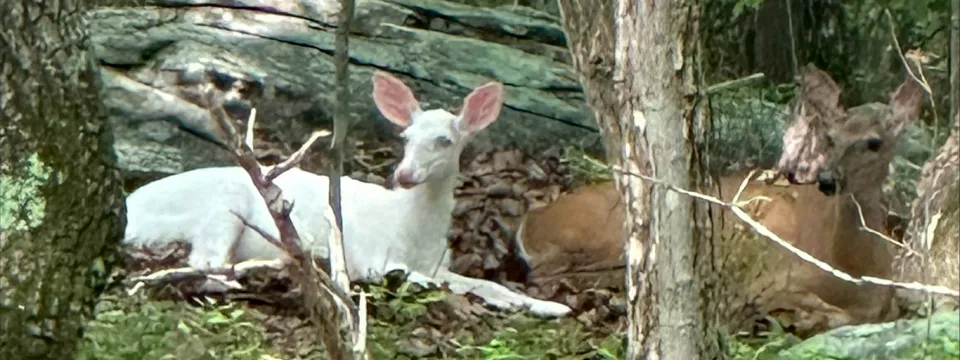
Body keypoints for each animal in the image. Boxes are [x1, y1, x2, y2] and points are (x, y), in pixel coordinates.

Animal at [119, 71, 568, 318]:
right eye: (405, 137)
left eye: (445, 140)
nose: (404, 175)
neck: (412, 231)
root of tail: (128, 214)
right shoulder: (370, 254)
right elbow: (417, 279)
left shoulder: (438, 262)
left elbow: (489, 286)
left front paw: (553, 307)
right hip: (218, 208)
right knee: (205, 261)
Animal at [510, 64, 924, 332]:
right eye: (830, 138)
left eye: (874, 142)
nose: (826, 179)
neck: (853, 273)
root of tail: (529, 221)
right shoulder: (777, 274)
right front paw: (792, 315)